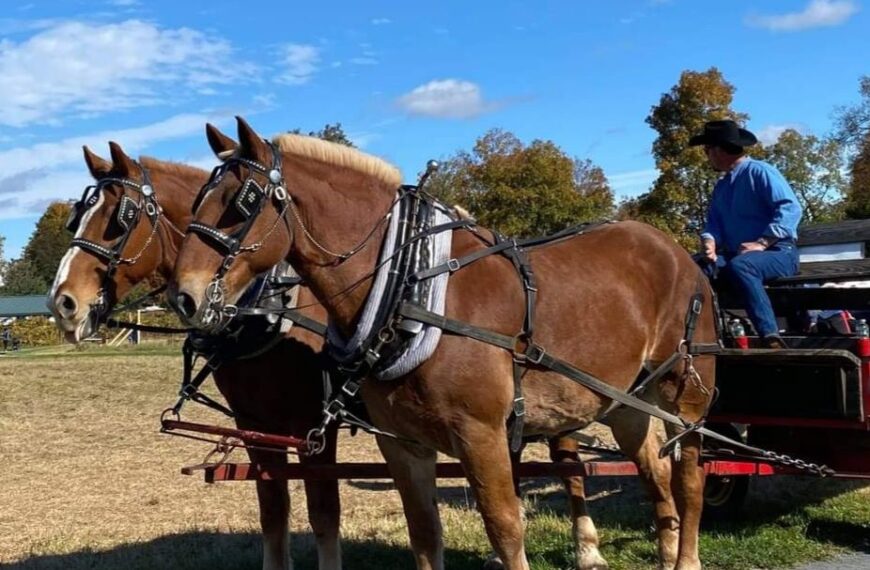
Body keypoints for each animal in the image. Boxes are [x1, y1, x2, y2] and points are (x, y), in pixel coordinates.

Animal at [47, 141, 341, 570]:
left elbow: (323, 513)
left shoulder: (313, 425)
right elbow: (273, 509)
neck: (266, 306)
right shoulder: (253, 421)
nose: (62, 302)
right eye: (76, 219)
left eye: (121, 218)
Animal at [170, 117, 718, 570]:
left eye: (241, 204)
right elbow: (424, 533)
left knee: (689, 479)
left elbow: (505, 528)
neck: (410, 294)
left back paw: (685, 559)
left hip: (685, 398)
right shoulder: (402, 443)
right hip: (626, 402)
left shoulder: (482, 436)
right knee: (655, 473)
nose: (184, 296)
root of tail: (675, 251)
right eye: (196, 202)